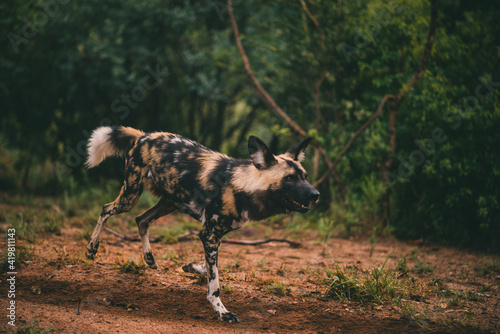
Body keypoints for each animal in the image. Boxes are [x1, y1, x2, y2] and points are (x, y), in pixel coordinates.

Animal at [85, 126, 320, 322]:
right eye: (289, 178)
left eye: (306, 177)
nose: (316, 194)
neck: (242, 186)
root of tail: (144, 136)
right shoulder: (210, 235)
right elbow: (214, 284)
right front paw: (222, 311)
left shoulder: (211, 236)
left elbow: (209, 267)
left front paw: (192, 267)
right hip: (130, 196)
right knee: (106, 210)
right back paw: (91, 248)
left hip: (169, 202)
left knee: (141, 220)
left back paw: (149, 258)